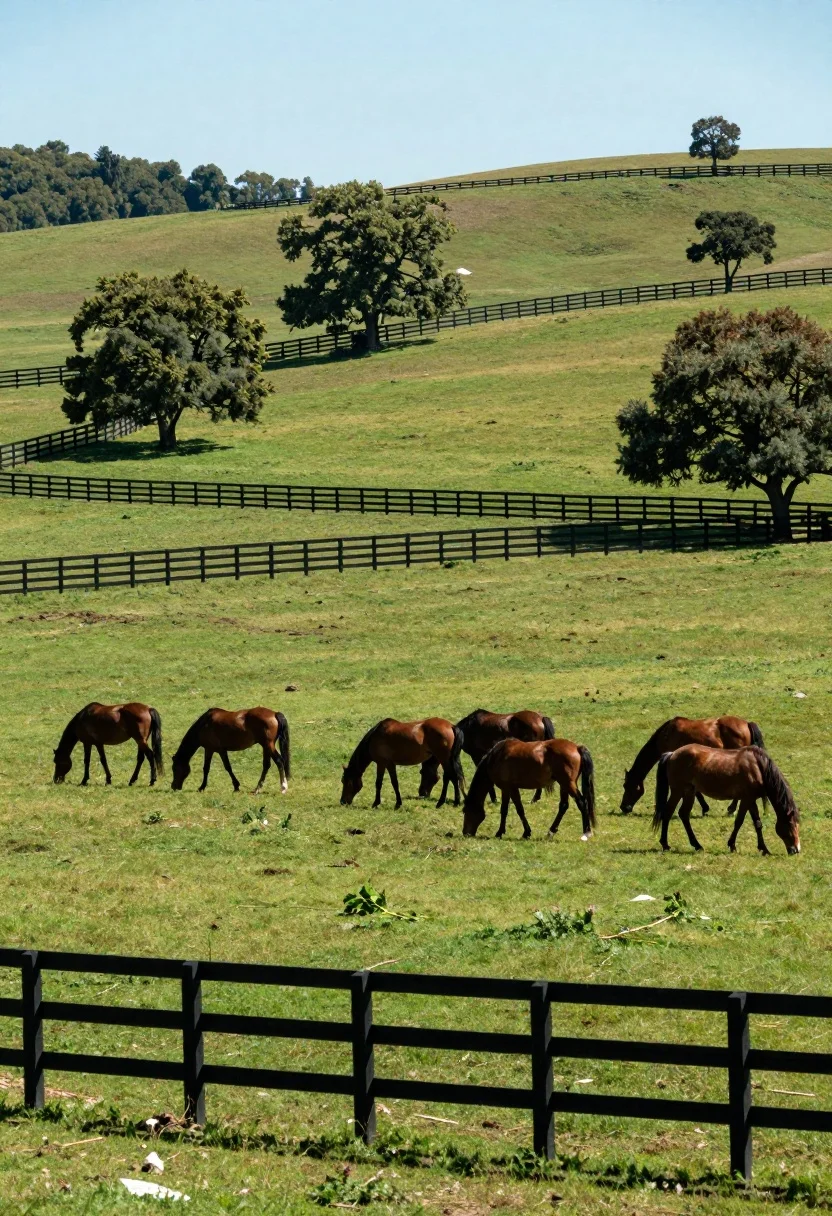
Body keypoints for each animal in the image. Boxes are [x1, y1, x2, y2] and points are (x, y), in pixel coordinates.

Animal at [420, 708, 555, 804]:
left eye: (422, 772)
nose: (422, 793)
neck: (469, 729)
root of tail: (540, 718)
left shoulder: (477, 756)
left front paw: (493, 798)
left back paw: (535, 798)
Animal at [462, 738, 596, 840]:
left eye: (465, 811)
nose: (465, 833)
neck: (496, 757)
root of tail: (577, 747)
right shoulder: (507, 789)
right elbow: (505, 810)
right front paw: (503, 832)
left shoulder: (509, 788)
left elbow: (517, 810)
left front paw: (522, 832)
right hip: (564, 785)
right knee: (563, 806)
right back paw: (551, 831)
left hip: (568, 784)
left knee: (582, 802)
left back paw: (586, 833)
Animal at [621, 716, 764, 817]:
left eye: (627, 786)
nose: (623, 807)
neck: (666, 735)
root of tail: (747, 723)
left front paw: (705, 808)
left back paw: (731, 809)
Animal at [653, 744, 800, 856]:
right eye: (791, 824)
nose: (796, 850)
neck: (758, 767)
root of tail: (672, 754)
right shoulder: (746, 799)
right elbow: (739, 821)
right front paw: (732, 845)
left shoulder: (751, 800)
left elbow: (757, 823)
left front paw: (764, 849)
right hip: (678, 791)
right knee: (668, 813)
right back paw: (666, 845)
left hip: (689, 792)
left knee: (683, 814)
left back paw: (696, 845)